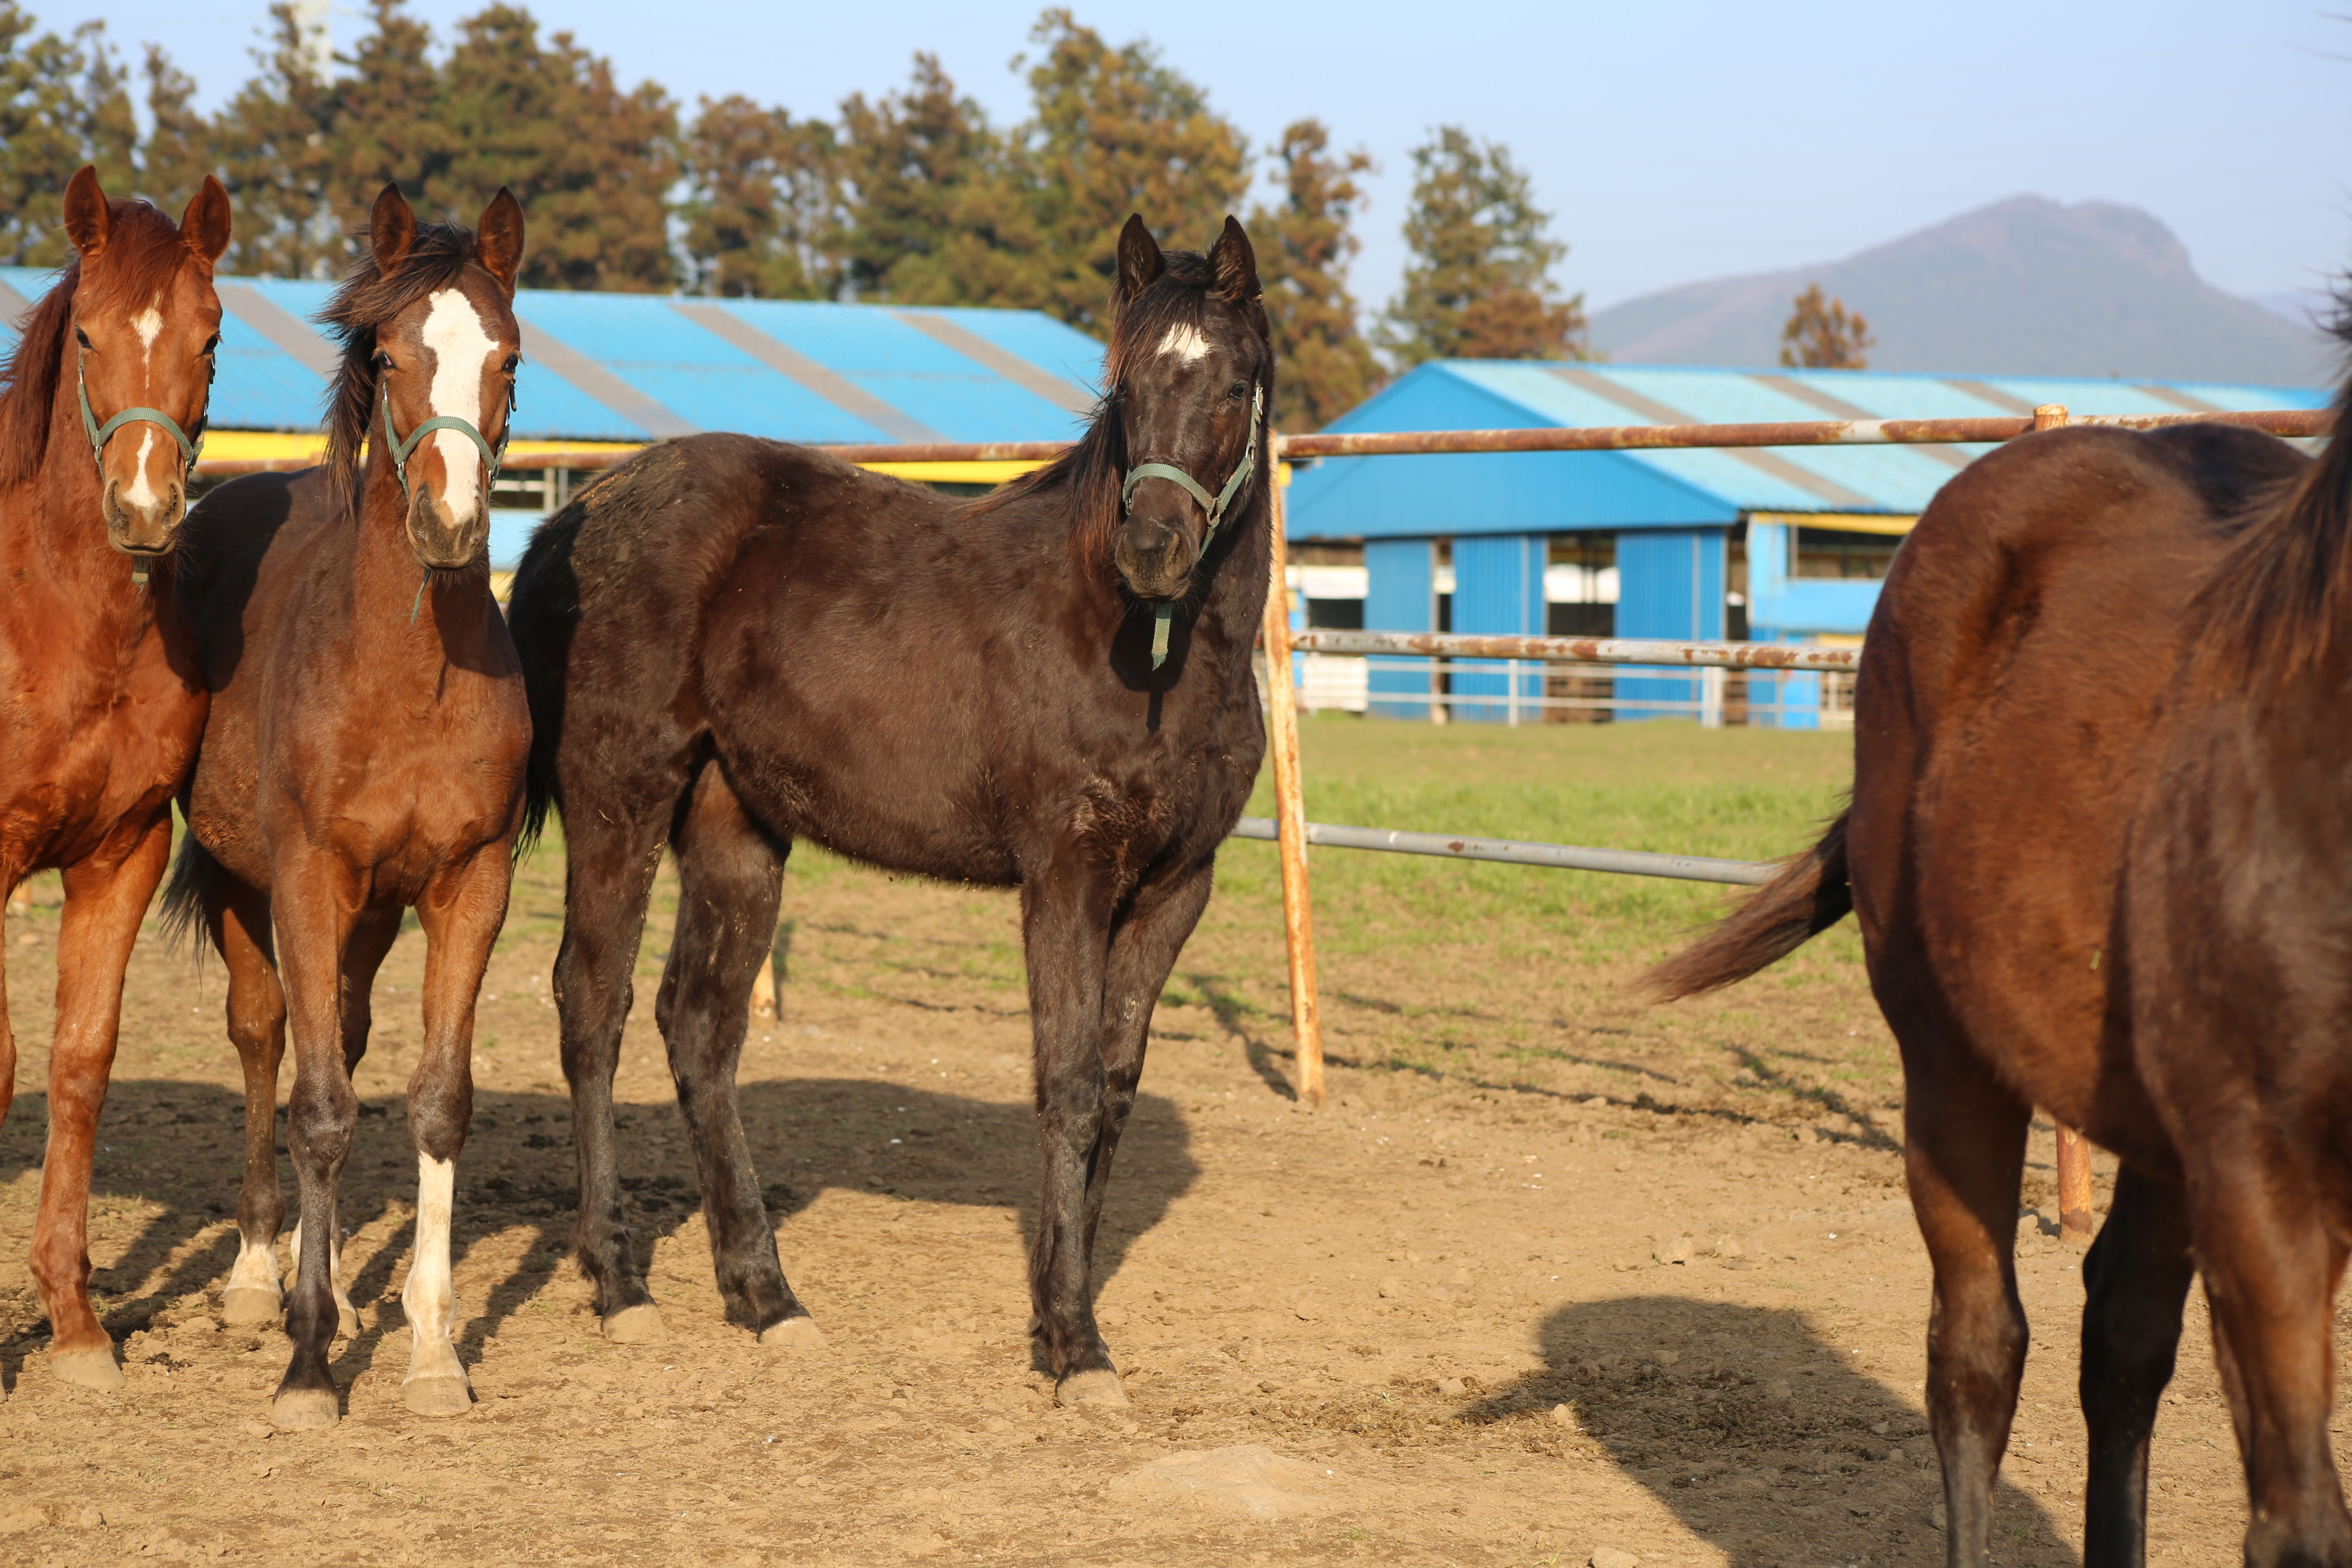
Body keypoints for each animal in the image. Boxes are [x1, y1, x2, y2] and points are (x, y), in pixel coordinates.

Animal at [168, 184, 531, 1439]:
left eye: (509, 360)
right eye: (387, 354)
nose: (450, 528)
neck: (407, 673)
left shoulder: (471, 883)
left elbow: (438, 1103)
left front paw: (431, 1355)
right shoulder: (307, 878)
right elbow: (320, 1107)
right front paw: (310, 1361)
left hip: (373, 914)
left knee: (346, 1034)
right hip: (252, 889)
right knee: (266, 1041)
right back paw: (254, 1275)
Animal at [508, 215, 1279, 1401]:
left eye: (1234, 384)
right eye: (1125, 382)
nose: (1152, 547)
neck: (1148, 651)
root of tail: (574, 517)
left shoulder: (1171, 890)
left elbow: (1113, 1087)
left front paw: (1059, 1313)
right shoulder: (1066, 873)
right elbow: (1066, 1083)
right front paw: (1074, 1342)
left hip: (733, 828)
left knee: (700, 1025)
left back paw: (764, 1296)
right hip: (619, 802)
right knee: (593, 1004)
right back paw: (618, 1283)